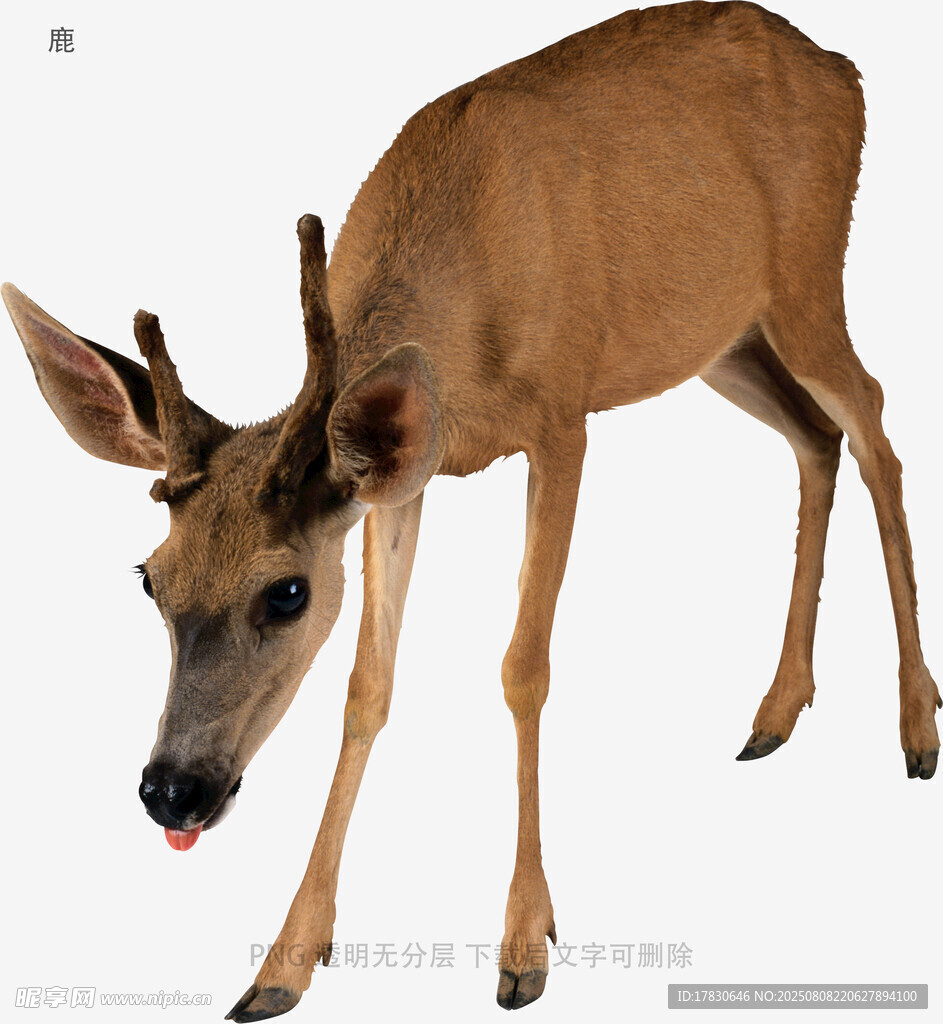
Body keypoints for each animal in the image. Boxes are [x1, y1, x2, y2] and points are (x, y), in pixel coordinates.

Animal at [3, 1, 939, 1020]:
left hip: (807, 279)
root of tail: (842, 68)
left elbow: (522, 667)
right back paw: (775, 710)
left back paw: (915, 726)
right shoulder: (403, 482)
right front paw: (283, 963)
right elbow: (366, 687)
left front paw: (525, 944)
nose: (171, 791)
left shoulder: (563, 418)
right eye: (148, 580)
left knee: (876, 421)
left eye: (286, 593)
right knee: (817, 438)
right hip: (721, 335)